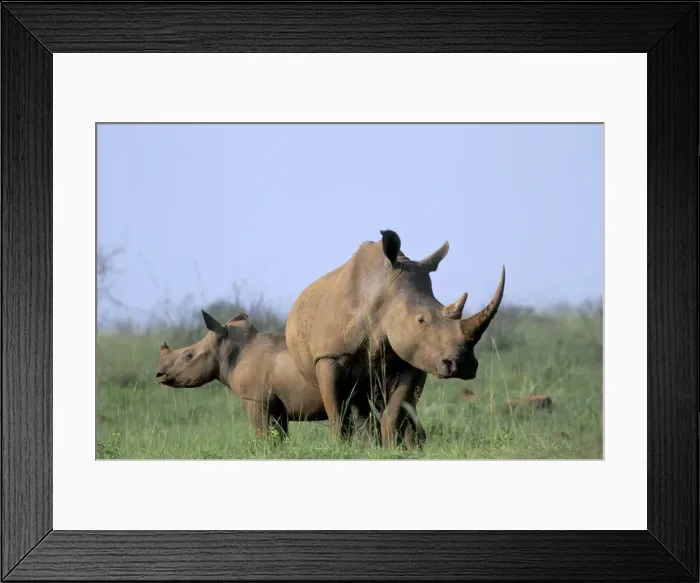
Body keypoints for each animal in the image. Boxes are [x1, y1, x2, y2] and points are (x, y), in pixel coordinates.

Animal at [156, 309, 423, 442]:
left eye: (188, 355)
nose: (159, 374)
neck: (229, 350)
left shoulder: (255, 400)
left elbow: (264, 436)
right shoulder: (275, 405)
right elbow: (278, 436)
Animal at [285, 229, 505, 447]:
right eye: (421, 320)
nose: (463, 365)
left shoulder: (411, 357)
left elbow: (397, 408)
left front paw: (392, 448)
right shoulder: (330, 355)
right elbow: (337, 410)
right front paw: (339, 447)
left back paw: (403, 445)